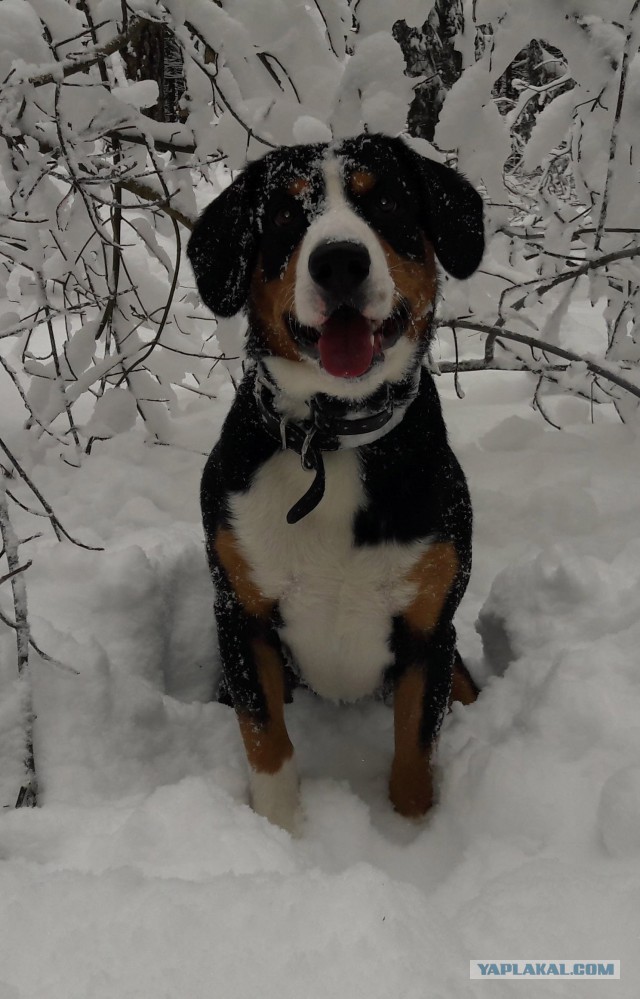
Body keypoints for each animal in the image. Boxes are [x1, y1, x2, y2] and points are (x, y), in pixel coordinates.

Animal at [188, 133, 482, 836]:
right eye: (284, 216)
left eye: (387, 203)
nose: (339, 262)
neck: (333, 443)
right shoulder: (242, 616)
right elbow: (266, 737)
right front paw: (281, 831)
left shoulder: (430, 631)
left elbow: (415, 748)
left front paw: (410, 836)